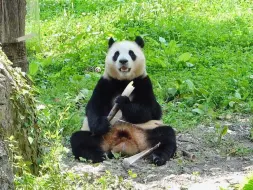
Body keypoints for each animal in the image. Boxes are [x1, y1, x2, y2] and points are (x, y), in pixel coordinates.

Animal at [69, 36, 176, 166]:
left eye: (131, 53)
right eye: (116, 54)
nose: (123, 61)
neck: (124, 81)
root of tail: (123, 143)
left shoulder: (144, 82)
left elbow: (149, 110)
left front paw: (123, 101)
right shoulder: (105, 83)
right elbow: (94, 108)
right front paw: (102, 124)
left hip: (147, 129)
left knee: (166, 135)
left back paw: (157, 157)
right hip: (97, 136)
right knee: (79, 139)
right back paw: (97, 155)